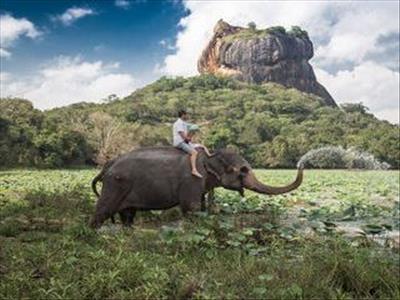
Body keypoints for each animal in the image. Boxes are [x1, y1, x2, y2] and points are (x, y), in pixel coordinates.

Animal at [90, 146, 304, 229]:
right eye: (241, 171)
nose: (301, 164)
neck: (210, 156)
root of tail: (107, 165)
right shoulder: (191, 181)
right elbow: (191, 209)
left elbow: (200, 209)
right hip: (115, 185)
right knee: (102, 212)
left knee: (128, 216)